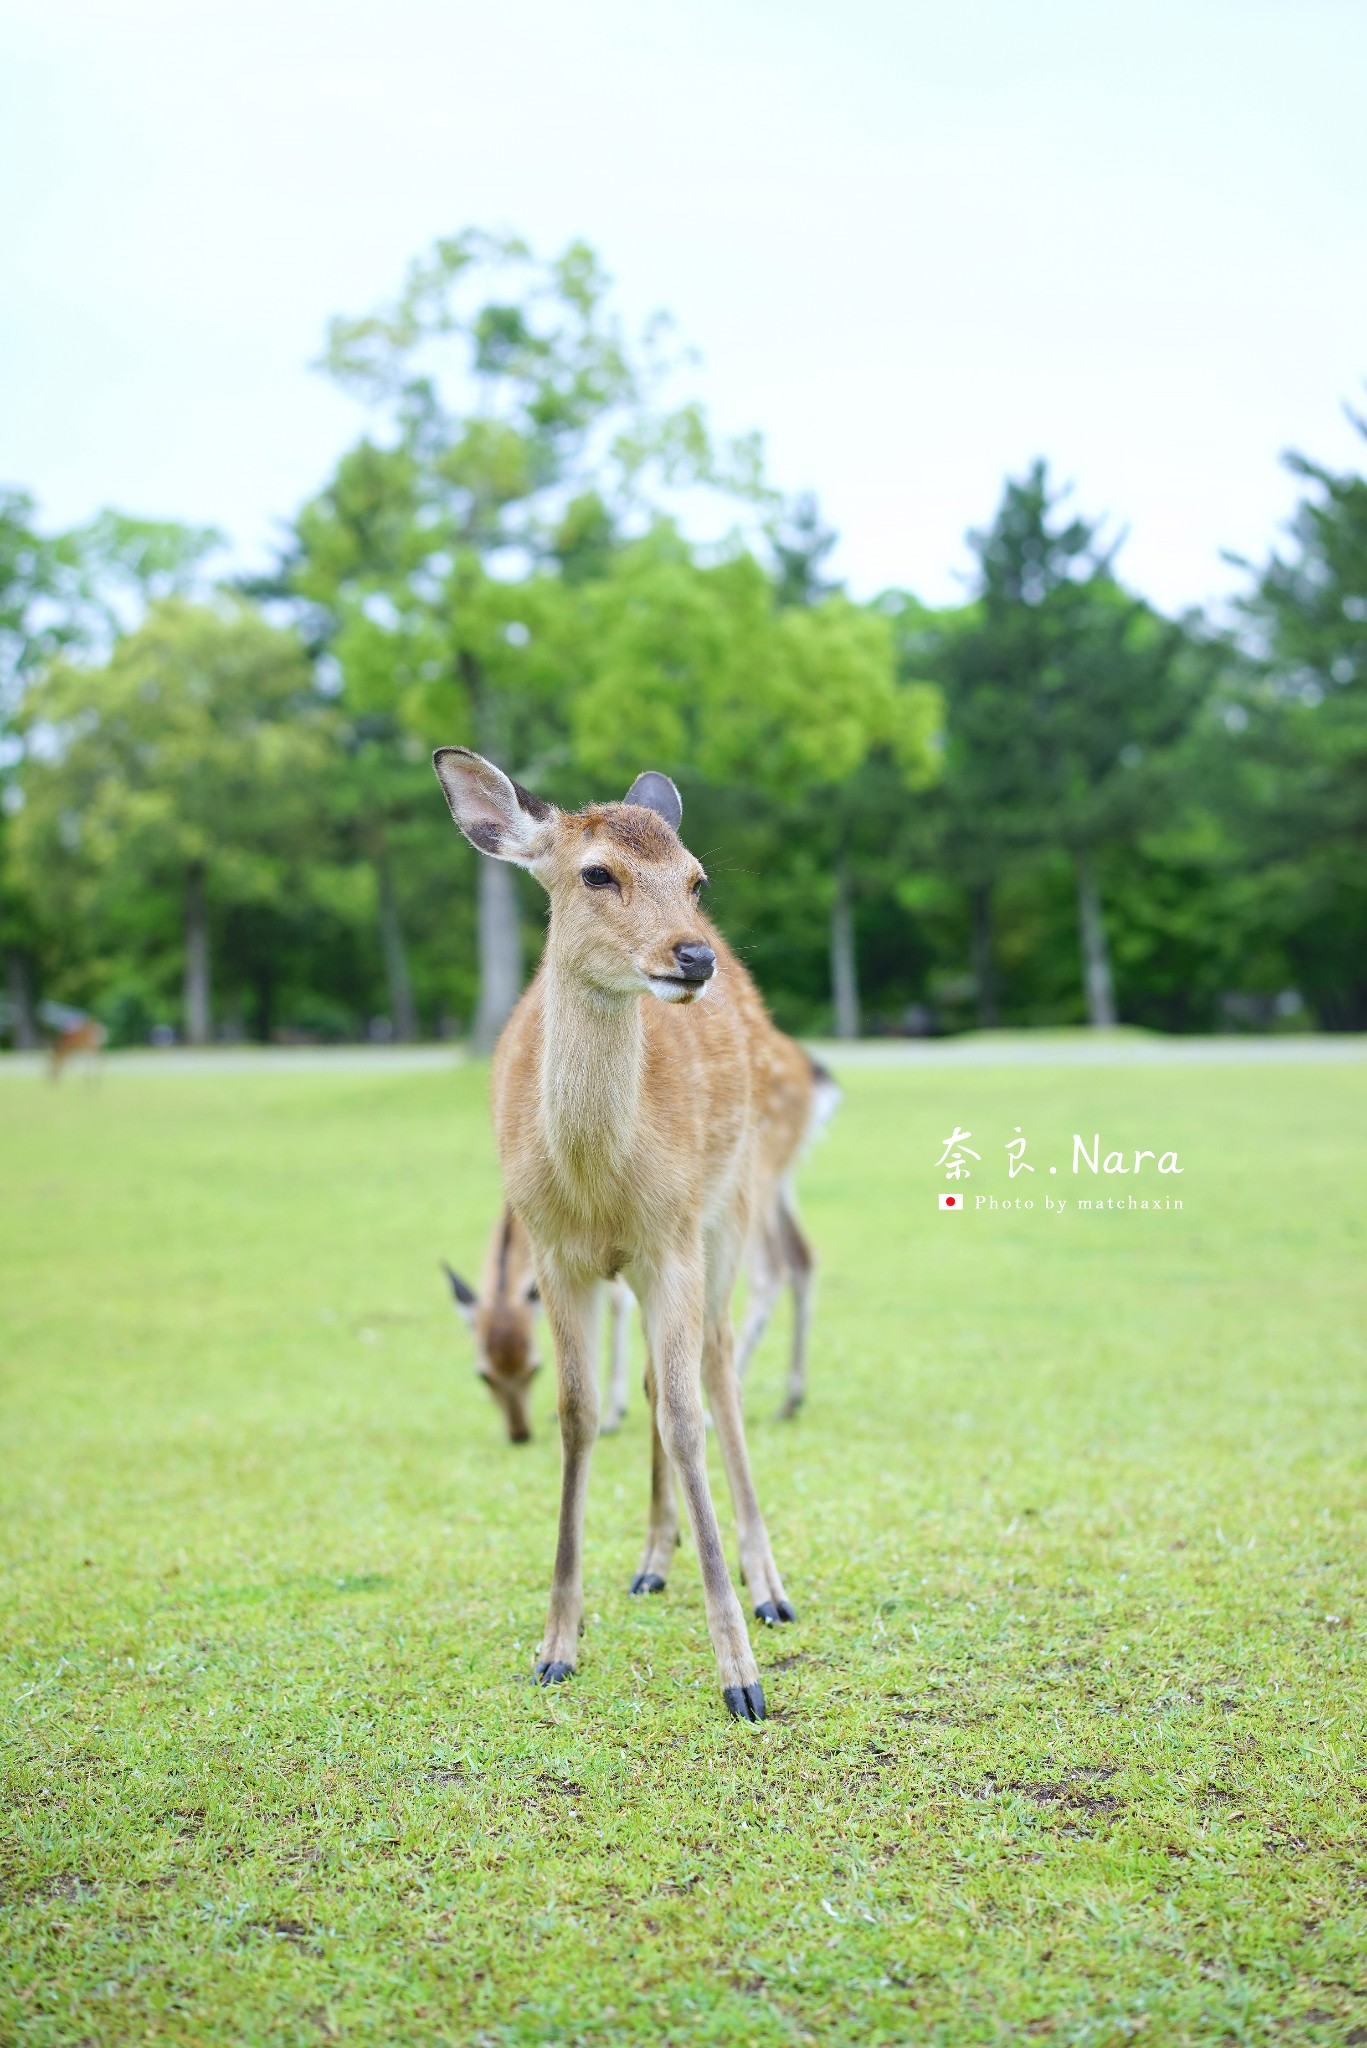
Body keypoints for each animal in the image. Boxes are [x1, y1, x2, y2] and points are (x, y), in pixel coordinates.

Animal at [436, 745, 823, 1720]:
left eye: (695, 877)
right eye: (596, 873)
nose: (693, 955)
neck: (597, 1185)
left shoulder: (671, 1237)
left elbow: (686, 1413)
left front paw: (740, 1678)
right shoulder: (554, 1254)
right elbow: (581, 1415)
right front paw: (555, 1646)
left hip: (733, 1205)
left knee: (716, 1369)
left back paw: (767, 1585)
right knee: (658, 1376)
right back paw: (652, 1560)